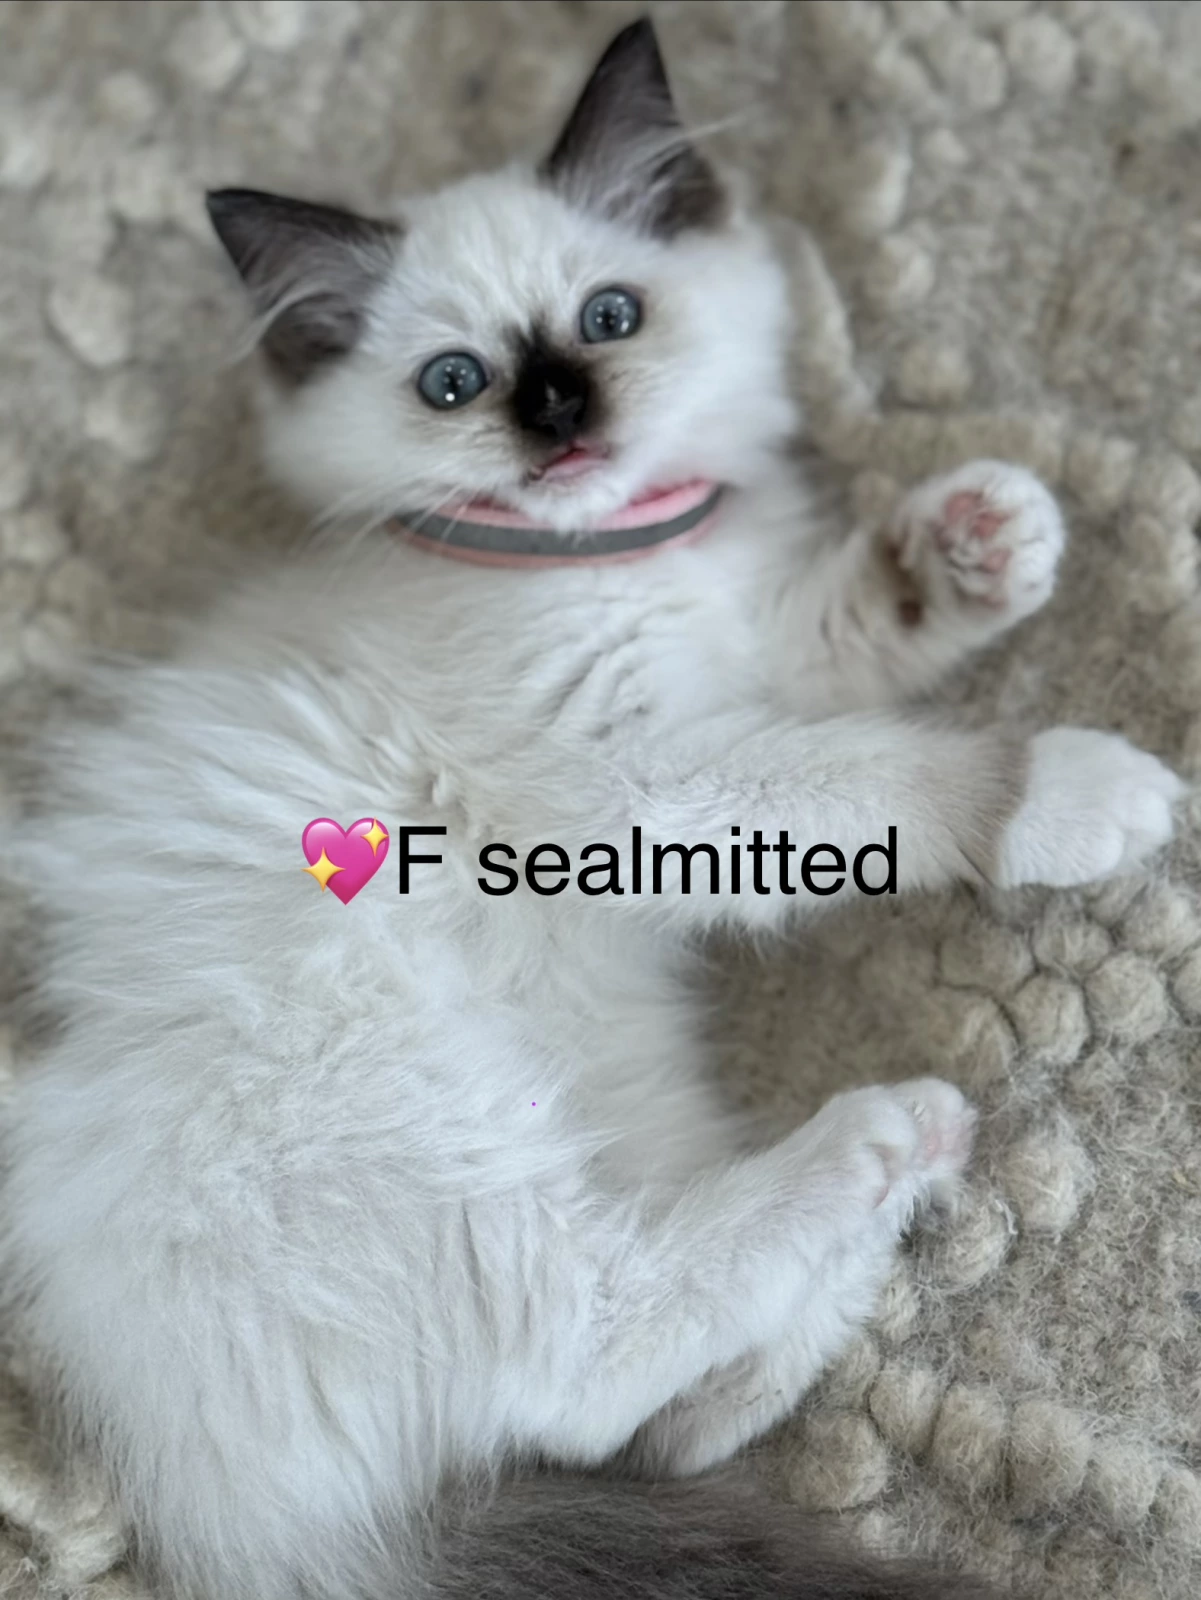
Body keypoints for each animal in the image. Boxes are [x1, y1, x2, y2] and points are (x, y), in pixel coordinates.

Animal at [0, 17, 1183, 1600]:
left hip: (623, 1102)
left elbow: (849, 641)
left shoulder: (736, 663)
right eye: (453, 384)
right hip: (416, 1098)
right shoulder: (626, 778)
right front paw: (1076, 790)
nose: (558, 411)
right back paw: (881, 1131)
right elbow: (884, 770)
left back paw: (905, 1167)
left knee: (657, 1427)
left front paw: (982, 540)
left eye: (609, 318)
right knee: (584, 1349)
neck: (604, 557)